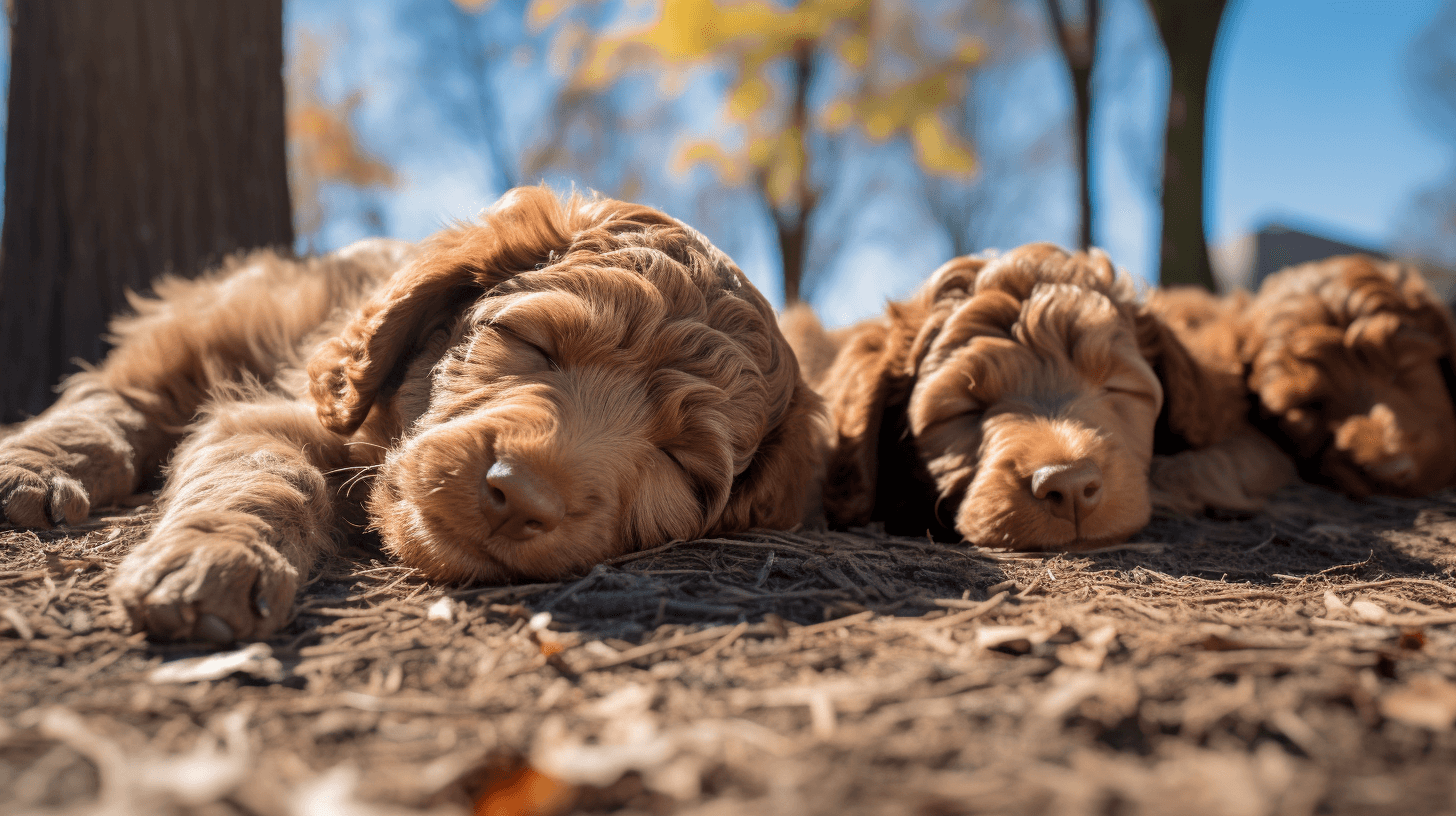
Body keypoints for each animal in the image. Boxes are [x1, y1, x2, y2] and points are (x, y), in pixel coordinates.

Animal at [0, 187, 821, 641]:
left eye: (683, 467)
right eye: (530, 341)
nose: (522, 495)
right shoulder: (277, 411)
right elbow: (259, 476)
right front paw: (216, 560)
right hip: (217, 319)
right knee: (116, 395)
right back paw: (34, 469)